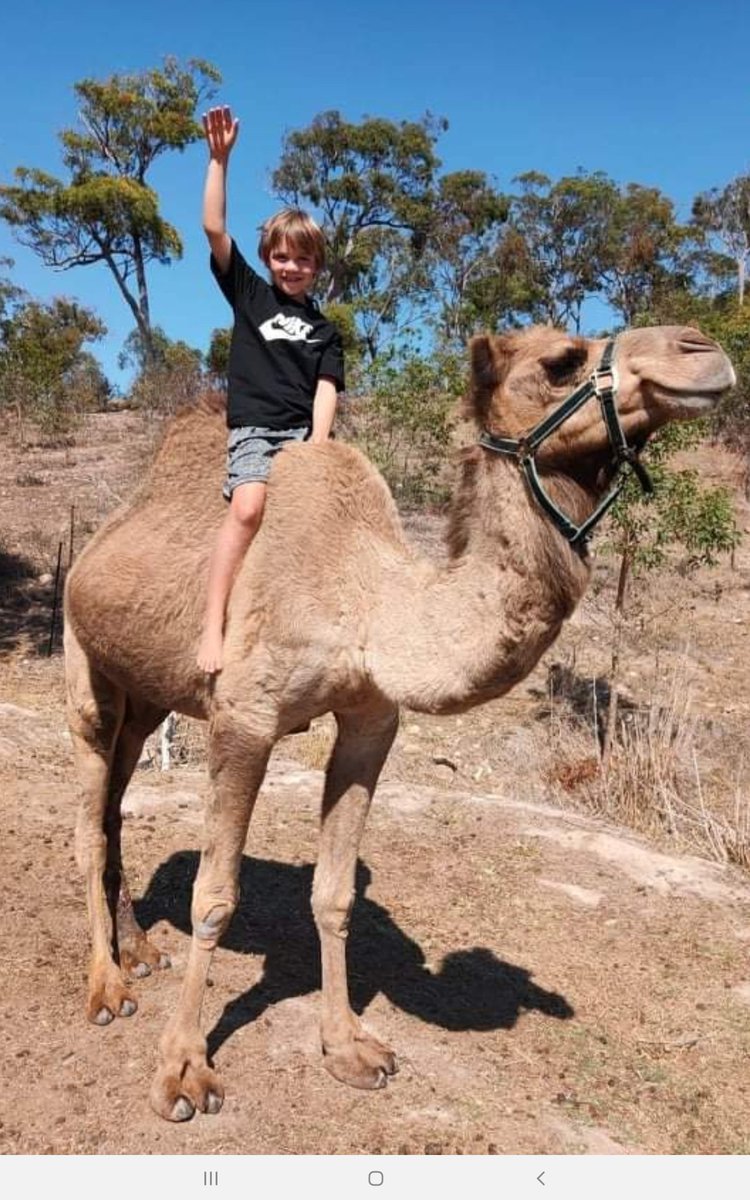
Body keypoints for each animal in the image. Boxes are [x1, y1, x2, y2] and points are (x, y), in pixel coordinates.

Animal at [64, 323, 734, 1121]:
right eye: (561, 361)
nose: (702, 350)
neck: (371, 602)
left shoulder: (370, 724)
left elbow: (334, 892)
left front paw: (349, 1047)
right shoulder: (244, 719)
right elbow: (215, 896)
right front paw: (184, 1071)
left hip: (147, 692)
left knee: (115, 803)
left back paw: (138, 949)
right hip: (84, 663)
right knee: (90, 816)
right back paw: (106, 988)